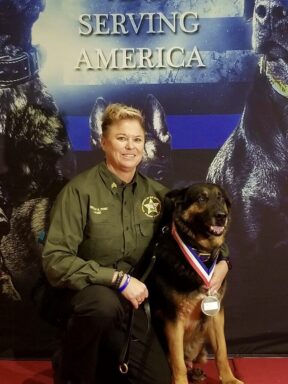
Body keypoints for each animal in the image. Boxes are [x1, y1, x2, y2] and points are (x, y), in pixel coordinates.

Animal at [147, 183, 242, 384]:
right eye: (201, 198)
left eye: (220, 198)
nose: (222, 216)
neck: (200, 252)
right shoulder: (174, 319)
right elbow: (177, 363)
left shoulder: (216, 313)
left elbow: (222, 351)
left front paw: (229, 379)